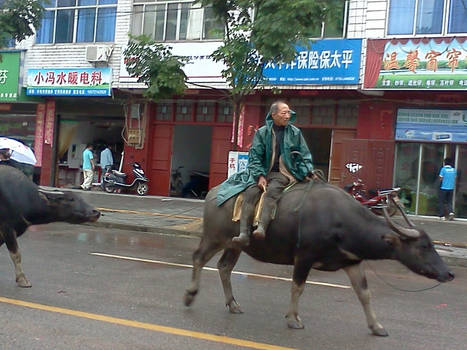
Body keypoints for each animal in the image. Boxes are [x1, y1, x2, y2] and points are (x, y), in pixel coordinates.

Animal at [185, 180, 456, 336]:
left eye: (432, 244)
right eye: (423, 246)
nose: (449, 273)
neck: (340, 221)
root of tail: (212, 193)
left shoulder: (353, 262)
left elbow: (364, 294)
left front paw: (377, 326)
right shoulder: (304, 257)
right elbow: (297, 287)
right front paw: (293, 319)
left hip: (236, 245)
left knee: (224, 267)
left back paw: (233, 304)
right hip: (214, 238)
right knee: (198, 258)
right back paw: (190, 295)